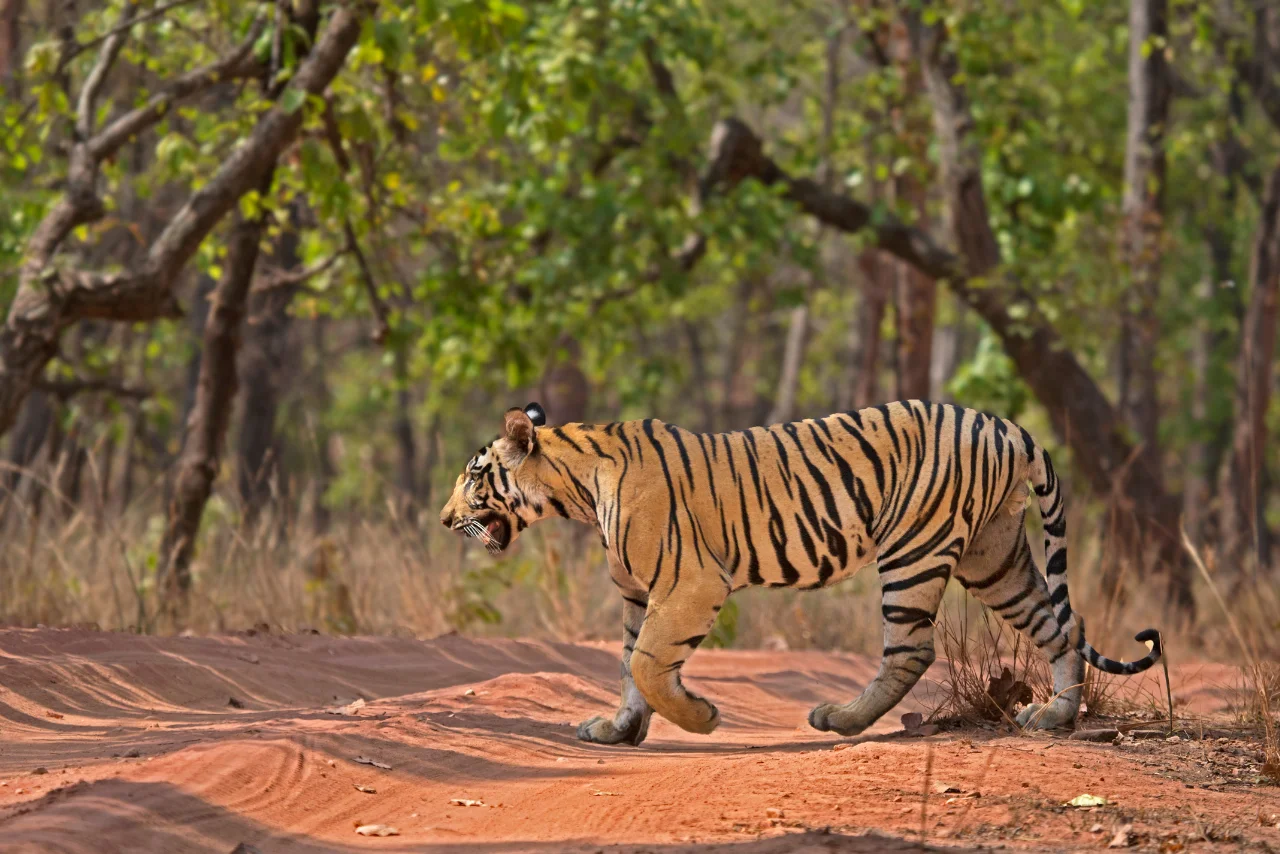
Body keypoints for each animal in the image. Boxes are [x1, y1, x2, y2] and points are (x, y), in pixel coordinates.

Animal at [439, 400, 1161, 745]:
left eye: (475, 478)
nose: (445, 520)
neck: (578, 488)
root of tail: (1008, 425)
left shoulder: (691, 583)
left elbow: (646, 662)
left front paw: (701, 718)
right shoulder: (639, 594)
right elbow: (628, 665)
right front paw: (618, 730)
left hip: (914, 549)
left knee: (912, 648)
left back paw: (839, 720)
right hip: (996, 559)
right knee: (1060, 627)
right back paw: (1056, 715)